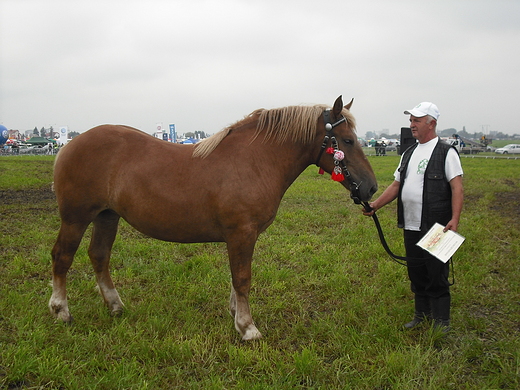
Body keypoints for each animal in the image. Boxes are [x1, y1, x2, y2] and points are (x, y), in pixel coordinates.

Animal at [48, 96, 376, 340]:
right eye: (347, 141)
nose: (371, 187)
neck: (255, 161)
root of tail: (68, 146)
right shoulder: (242, 232)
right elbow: (243, 278)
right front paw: (248, 328)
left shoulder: (241, 236)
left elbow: (236, 277)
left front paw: (236, 314)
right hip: (76, 218)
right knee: (62, 257)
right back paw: (61, 311)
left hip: (107, 216)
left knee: (99, 255)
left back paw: (115, 305)